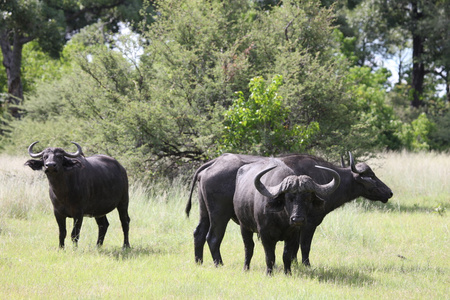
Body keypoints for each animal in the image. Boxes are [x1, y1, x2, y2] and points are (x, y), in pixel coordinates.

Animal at [185, 152, 392, 264]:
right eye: (371, 176)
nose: (389, 192)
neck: (325, 178)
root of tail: (214, 162)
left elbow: (293, 248)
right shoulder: (308, 224)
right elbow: (305, 246)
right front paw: (306, 265)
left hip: (205, 212)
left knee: (198, 233)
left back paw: (199, 262)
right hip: (220, 214)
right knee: (213, 238)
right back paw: (219, 264)